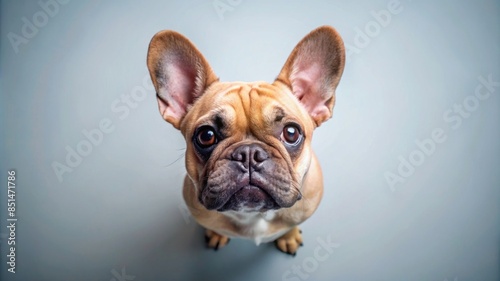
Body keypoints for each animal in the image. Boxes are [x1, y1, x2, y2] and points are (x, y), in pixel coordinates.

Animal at [146, 26, 346, 254]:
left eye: (291, 133)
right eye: (206, 136)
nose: (249, 153)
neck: (254, 216)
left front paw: (289, 235)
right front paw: (217, 234)